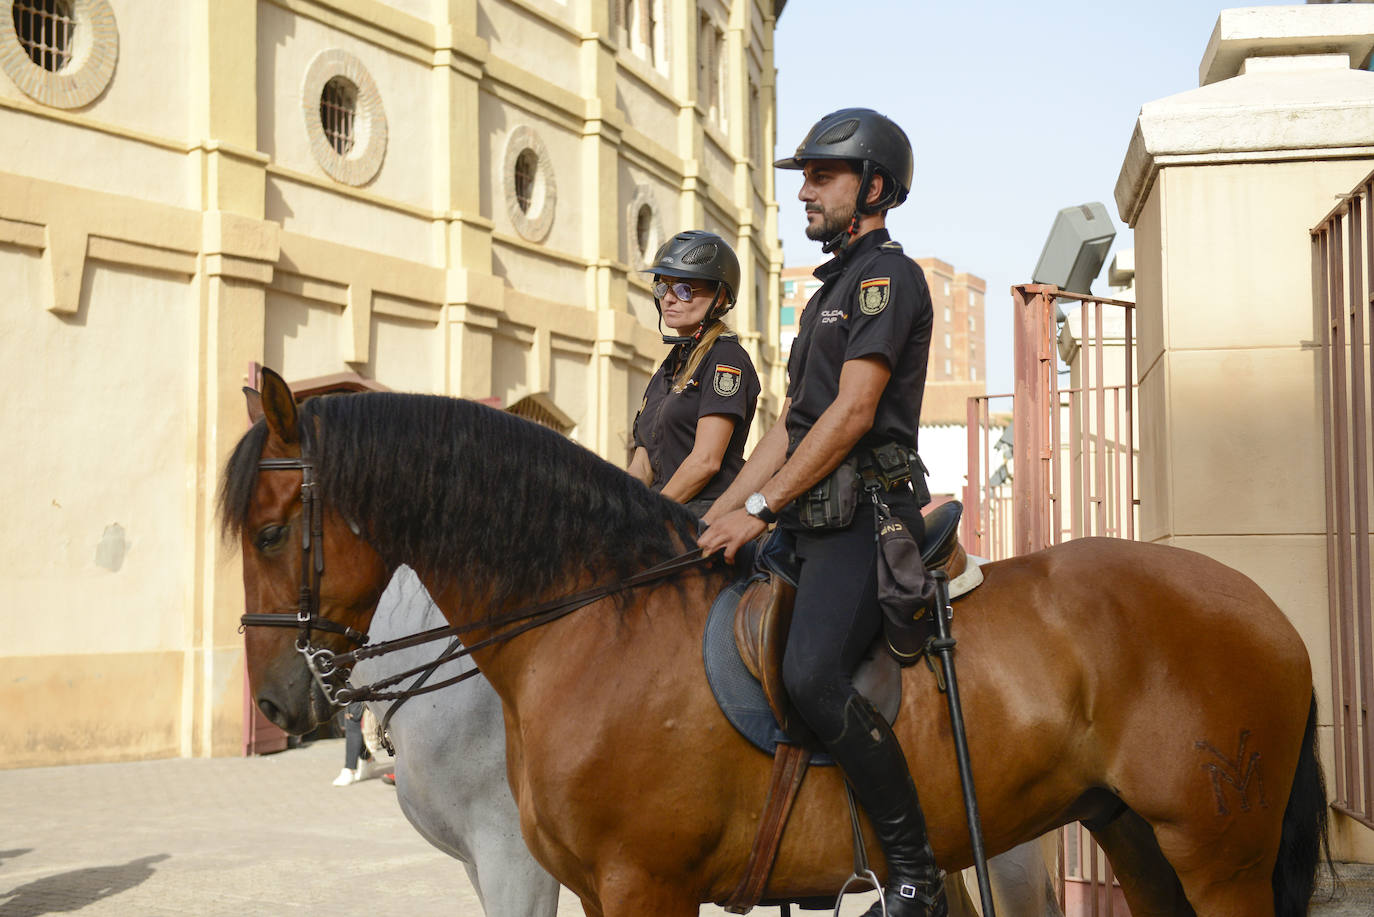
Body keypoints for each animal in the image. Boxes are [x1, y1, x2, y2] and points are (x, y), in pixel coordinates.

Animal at [225, 373, 1330, 917]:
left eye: (271, 531)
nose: (278, 700)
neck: (590, 624)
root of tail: (1262, 606)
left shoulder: (627, 883)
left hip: (1212, 855)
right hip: (1133, 836)